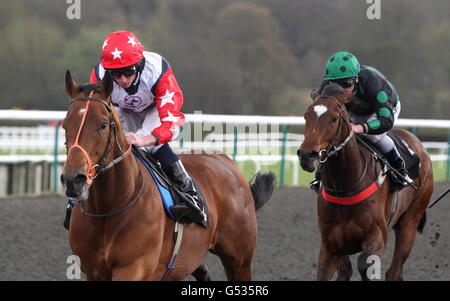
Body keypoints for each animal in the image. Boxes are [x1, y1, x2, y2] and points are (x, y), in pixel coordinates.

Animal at [61, 70, 276, 278]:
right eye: (65, 125)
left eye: (103, 124)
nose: (73, 180)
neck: (108, 210)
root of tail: (228, 161)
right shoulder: (93, 271)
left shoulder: (133, 268)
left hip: (239, 260)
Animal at [298, 84, 434, 278]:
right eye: (306, 116)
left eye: (334, 118)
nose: (306, 155)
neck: (344, 185)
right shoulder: (330, 246)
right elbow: (335, 271)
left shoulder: (377, 236)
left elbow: (364, 264)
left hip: (410, 223)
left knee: (393, 271)